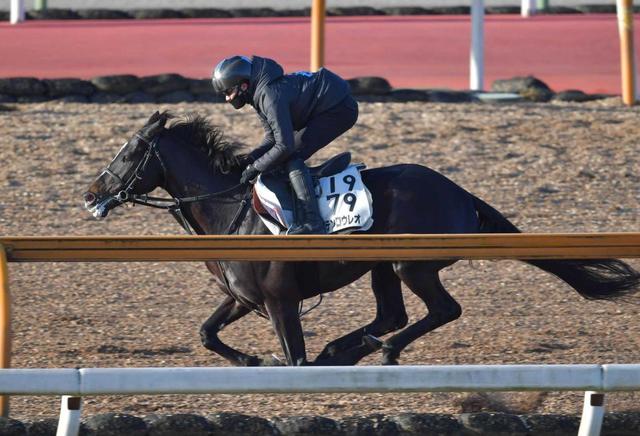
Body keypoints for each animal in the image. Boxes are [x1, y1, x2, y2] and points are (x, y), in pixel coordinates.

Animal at [82, 110, 636, 366]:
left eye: (128, 152)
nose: (91, 193)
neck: (229, 210)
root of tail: (460, 191)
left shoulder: (280, 301)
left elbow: (293, 359)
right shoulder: (243, 297)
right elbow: (207, 332)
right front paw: (249, 358)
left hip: (411, 263)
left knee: (441, 310)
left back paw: (381, 351)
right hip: (382, 266)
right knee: (392, 314)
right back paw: (347, 349)